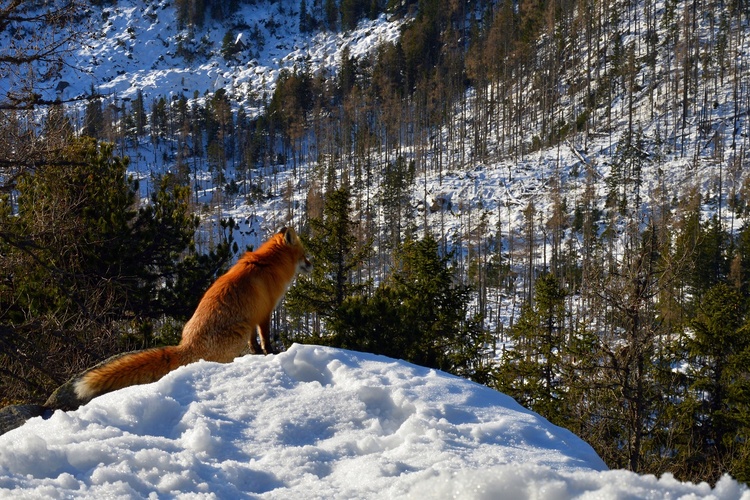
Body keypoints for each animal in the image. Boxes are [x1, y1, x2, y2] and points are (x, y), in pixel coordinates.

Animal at [72, 229, 312, 404]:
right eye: (304, 255)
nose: (312, 264)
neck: (268, 265)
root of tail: (187, 345)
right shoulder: (264, 313)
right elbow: (265, 339)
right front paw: (270, 353)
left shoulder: (254, 316)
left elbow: (254, 342)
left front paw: (256, 352)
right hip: (239, 330)